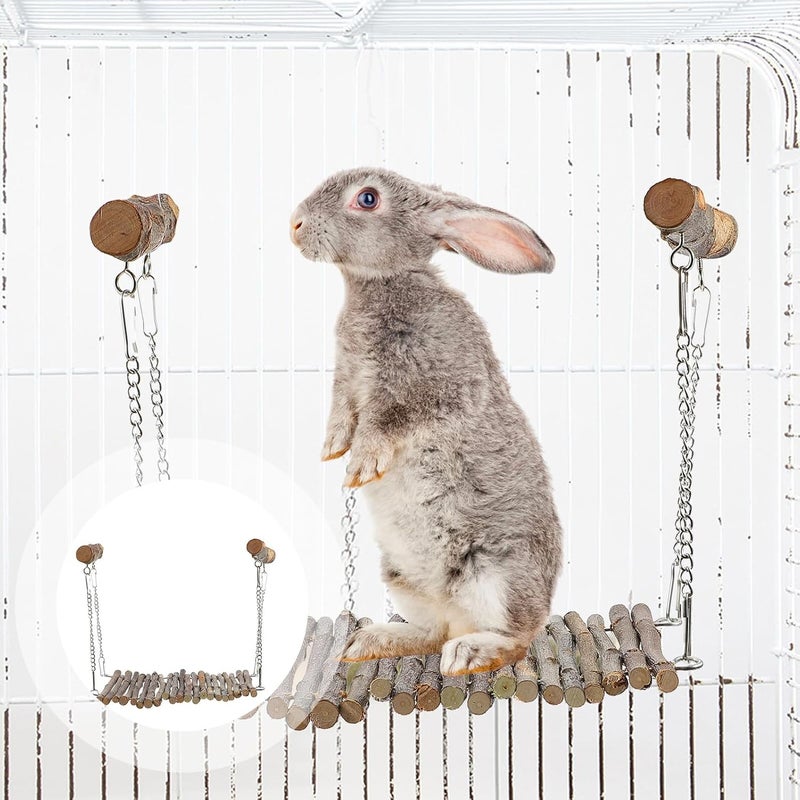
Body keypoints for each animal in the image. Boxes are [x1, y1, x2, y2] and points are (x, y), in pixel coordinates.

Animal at [290, 167, 562, 675]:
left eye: (368, 198)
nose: (294, 224)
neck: (382, 283)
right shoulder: (347, 380)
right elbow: (342, 412)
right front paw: (332, 449)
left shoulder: (431, 386)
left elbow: (387, 421)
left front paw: (361, 465)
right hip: (401, 578)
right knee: (431, 632)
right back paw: (371, 641)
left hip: (497, 574)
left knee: (516, 638)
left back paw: (470, 653)